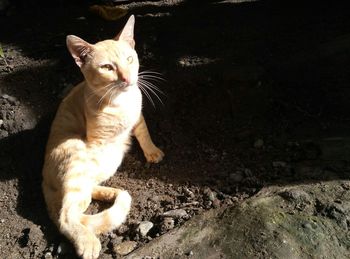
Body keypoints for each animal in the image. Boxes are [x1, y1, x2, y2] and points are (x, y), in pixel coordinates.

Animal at [41, 14, 164, 259]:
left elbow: (143, 131)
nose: (127, 79)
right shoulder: (98, 141)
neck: (122, 100)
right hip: (76, 158)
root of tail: (43, 180)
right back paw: (87, 241)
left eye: (129, 59)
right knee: (66, 215)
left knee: (87, 192)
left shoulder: (138, 116)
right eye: (107, 67)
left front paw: (151, 151)